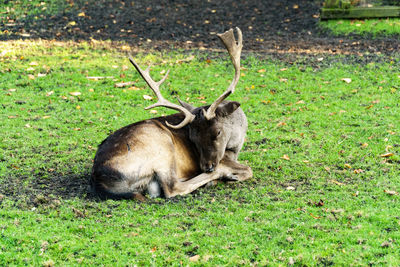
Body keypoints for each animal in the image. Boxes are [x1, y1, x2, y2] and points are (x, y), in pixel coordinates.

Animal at [92, 28, 252, 201]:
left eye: (218, 132)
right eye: (192, 137)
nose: (207, 167)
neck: (236, 145)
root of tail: (100, 181)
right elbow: (248, 169)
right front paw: (230, 175)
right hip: (162, 148)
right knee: (172, 188)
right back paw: (219, 176)